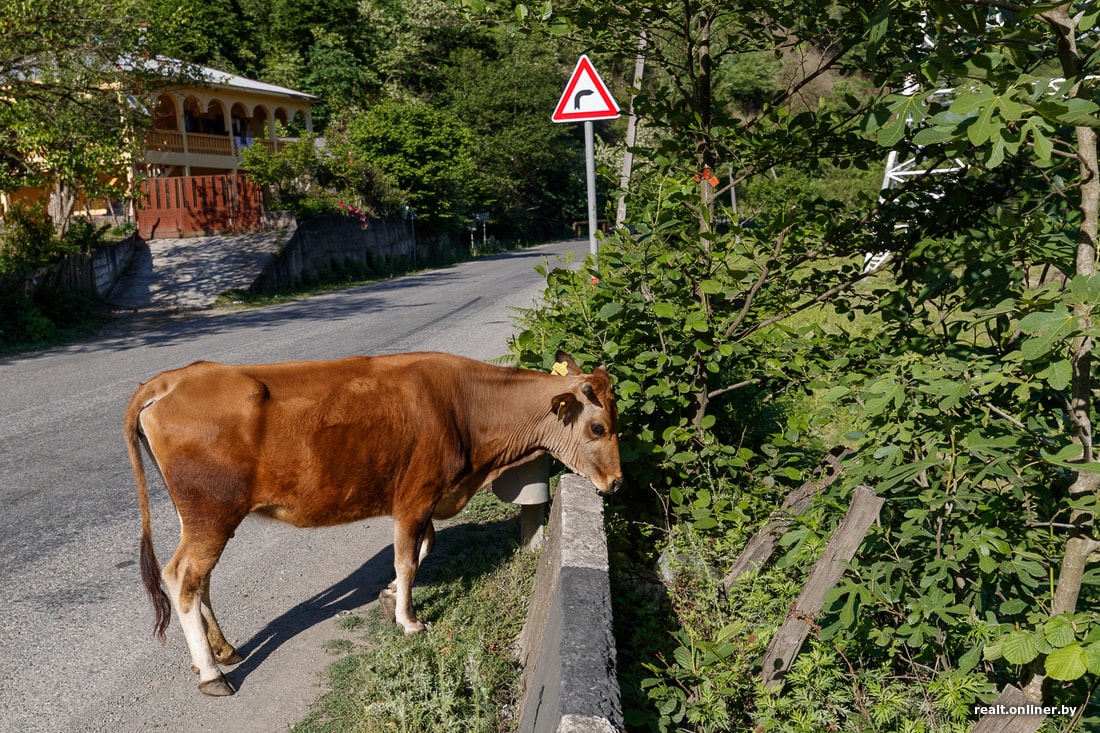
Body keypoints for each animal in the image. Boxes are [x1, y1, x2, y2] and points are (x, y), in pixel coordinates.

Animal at [125, 350, 621, 696]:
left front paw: (388, 596)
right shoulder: (416, 496)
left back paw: (222, 651)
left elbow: (422, 549)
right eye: (598, 428)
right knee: (182, 577)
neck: (467, 409)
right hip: (211, 513)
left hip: (202, 517)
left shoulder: (422, 498)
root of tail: (173, 379)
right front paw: (409, 621)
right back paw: (211, 673)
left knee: (199, 580)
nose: (616, 482)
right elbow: (408, 559)